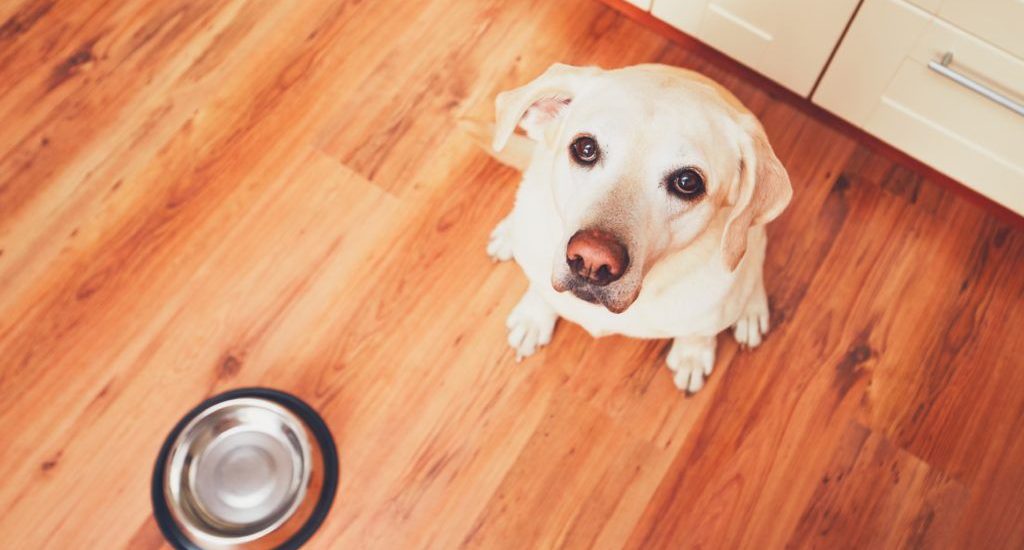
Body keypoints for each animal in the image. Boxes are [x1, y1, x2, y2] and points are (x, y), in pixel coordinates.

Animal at [468, 62, 786, 393]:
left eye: (688, 182)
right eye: (585, 148)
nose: (592, 260)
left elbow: (699, 332)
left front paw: (693, 355)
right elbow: (541, 291)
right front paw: (534, 317)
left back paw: (752, 310)